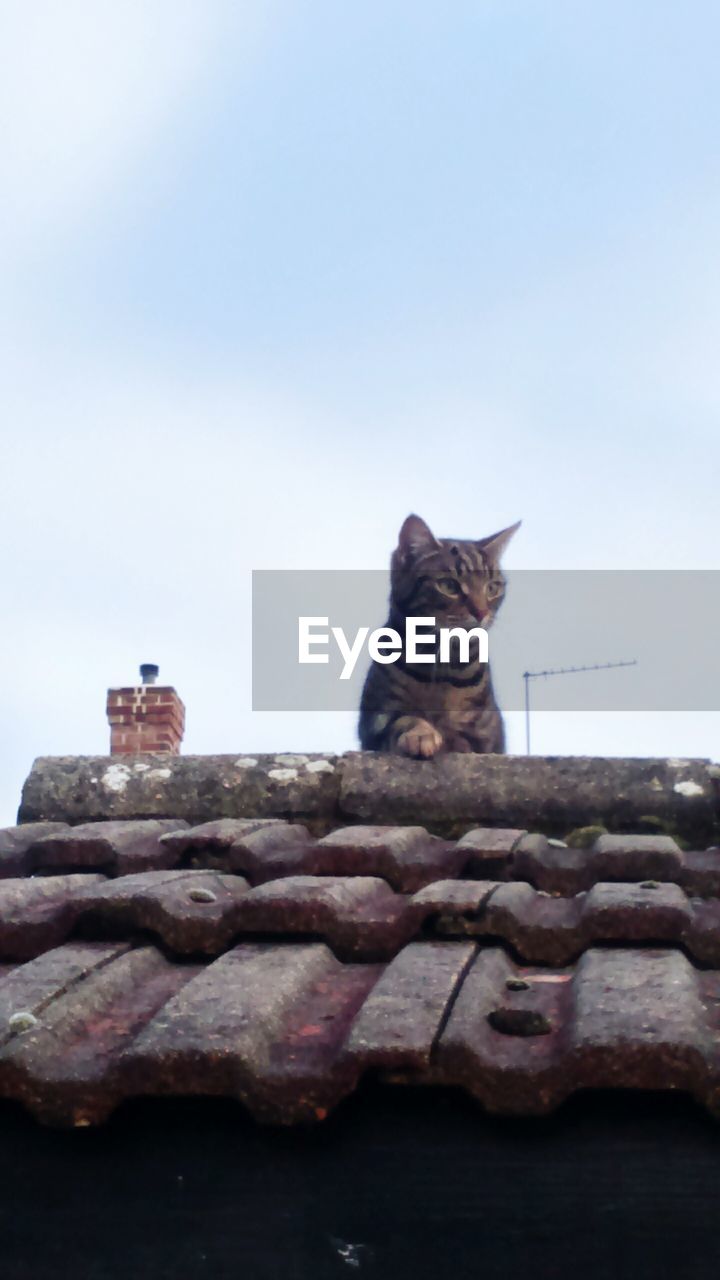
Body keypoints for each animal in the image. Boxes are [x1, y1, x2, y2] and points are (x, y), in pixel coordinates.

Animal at [356, 509, 515, 747]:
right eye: (449, 586)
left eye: (492, 588)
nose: (481, 612)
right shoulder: (375, 719)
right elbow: (404, 718)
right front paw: (421, 733)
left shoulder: (485, 733)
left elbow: (461, 737)